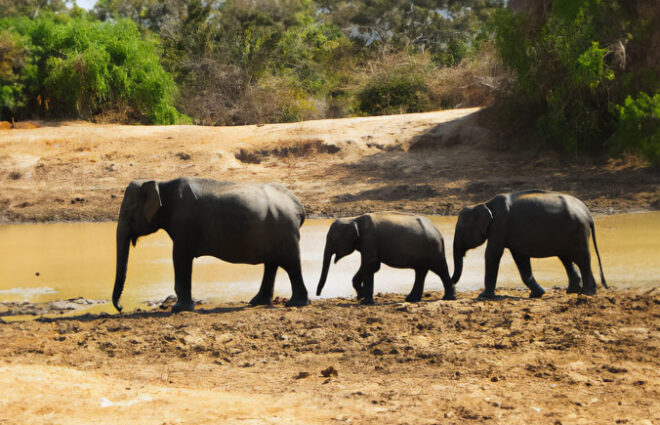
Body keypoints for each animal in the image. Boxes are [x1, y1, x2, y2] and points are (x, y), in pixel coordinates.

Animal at [112, 176, 310, 312]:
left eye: (127, 211)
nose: (121, 308)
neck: (162, 185)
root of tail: (298, 206)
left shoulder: (184, 223)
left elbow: (180, 257)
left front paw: (179, 309)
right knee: (272, 264)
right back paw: (258, 302)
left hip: (285, 231)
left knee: (291, 265)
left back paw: (296, 303)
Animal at [314, 211, 454, 304]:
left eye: (332, 240)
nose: (317, 294)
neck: (353, 219)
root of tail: (439, 233)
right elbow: (373, 266)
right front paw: (361, 296)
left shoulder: (370, 239)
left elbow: (370, 264)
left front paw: (365, 301)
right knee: (420, 272)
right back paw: (411, 299)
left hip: (433, 250)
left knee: (439, 269)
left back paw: (448, 297)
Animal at [452, 189, 604, 298]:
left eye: (459, 229)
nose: (453, 289)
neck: (485, 204)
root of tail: (588, 213)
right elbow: (521, 259)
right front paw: (538, 294)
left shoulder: (499, 225)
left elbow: (492, 254)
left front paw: (483, 296)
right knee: (566, 258)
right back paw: (572, 291)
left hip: (577, 231)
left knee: (582, 259)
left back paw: (587, 293)